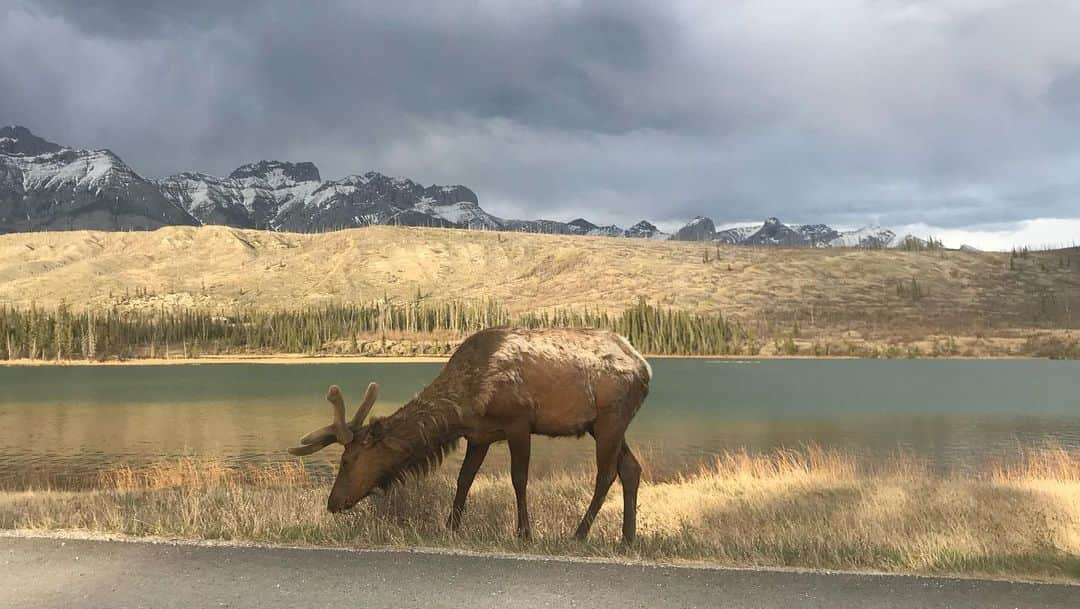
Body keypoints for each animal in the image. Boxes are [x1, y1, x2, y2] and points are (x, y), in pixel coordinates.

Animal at [287, 328, 648, 542]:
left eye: (348, 460)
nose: (333, 502)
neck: (463, 406)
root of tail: (645, 367)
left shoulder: (518, 422)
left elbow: (519, 478)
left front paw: (524, 533)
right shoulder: (479, 435)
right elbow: (464, 479)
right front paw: (451, 526)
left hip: (611, 419)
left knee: (606, 473)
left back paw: (580, 533)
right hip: (603, 425)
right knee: (631, 468)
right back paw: (627, 537)